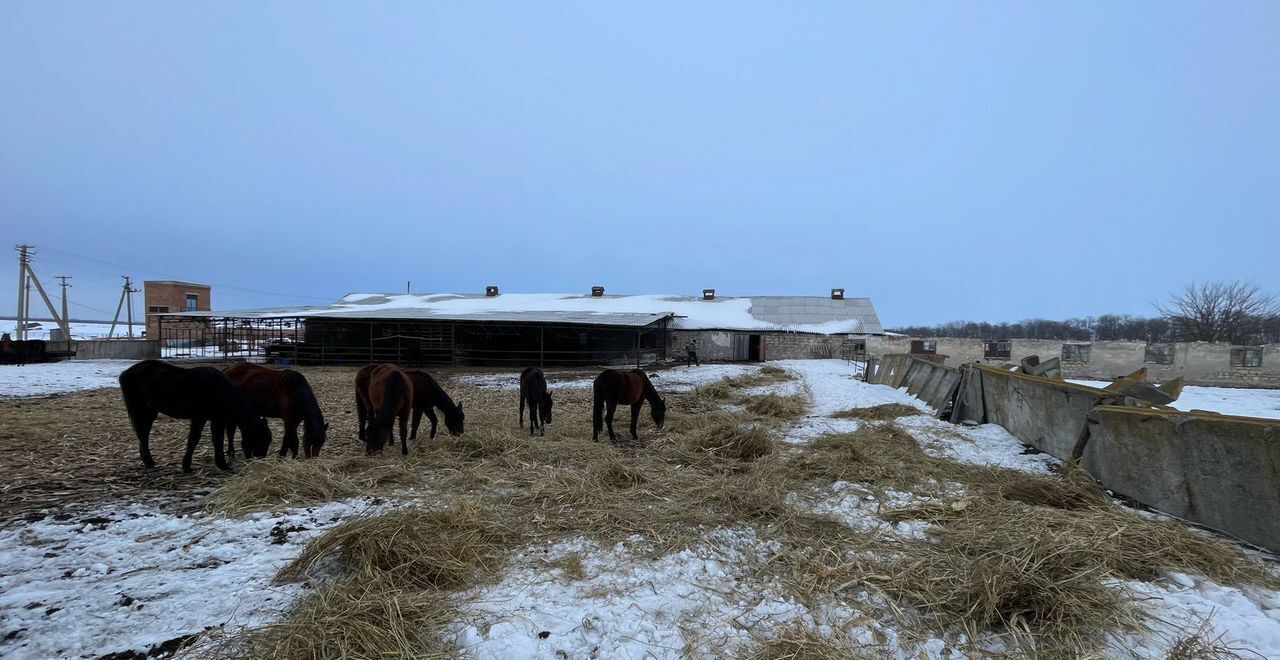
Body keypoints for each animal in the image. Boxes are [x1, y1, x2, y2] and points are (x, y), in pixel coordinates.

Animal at [119, 358, 272, 470]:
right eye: (262, 439)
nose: (261, 460)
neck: (219, 391)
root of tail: (124, 373)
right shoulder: (200, 417)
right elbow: (195, 439)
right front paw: (188, 466)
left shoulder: (215, 419)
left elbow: (215, 440)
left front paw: (219, 464)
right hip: (141, 411)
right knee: (143, 434)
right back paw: (149, 462)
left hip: (150, 412)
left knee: (143, 435)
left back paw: (148, 461)